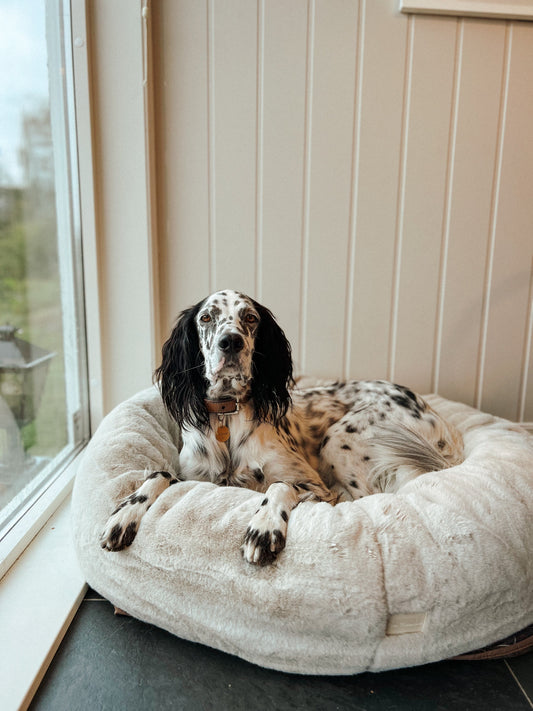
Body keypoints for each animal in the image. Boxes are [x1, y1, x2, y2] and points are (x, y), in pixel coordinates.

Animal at [101, 290, 462, 568]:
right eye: (206, 318)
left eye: (249, 317)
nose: (230, 342)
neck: (228, 418)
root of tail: (435, 415)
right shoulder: (196, 479)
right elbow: (160, 474)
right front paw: (124, 514)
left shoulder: (315, 486)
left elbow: (279, 485)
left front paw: (264, 527)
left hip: (339, 439)